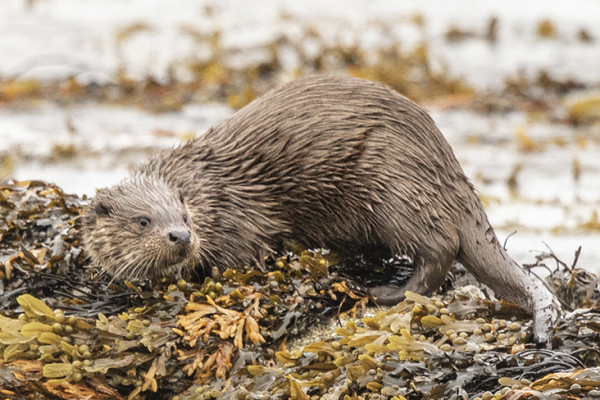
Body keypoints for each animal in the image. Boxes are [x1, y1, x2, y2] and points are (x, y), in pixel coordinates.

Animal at [82, 76, 560, 342]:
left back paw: (384, 292)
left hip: (394, 188)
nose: (181, 236)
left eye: (184, 218)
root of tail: (449, 169)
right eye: (143, 220)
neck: (210, 191)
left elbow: (243, 257)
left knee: (437, 250)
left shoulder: (242, 221)